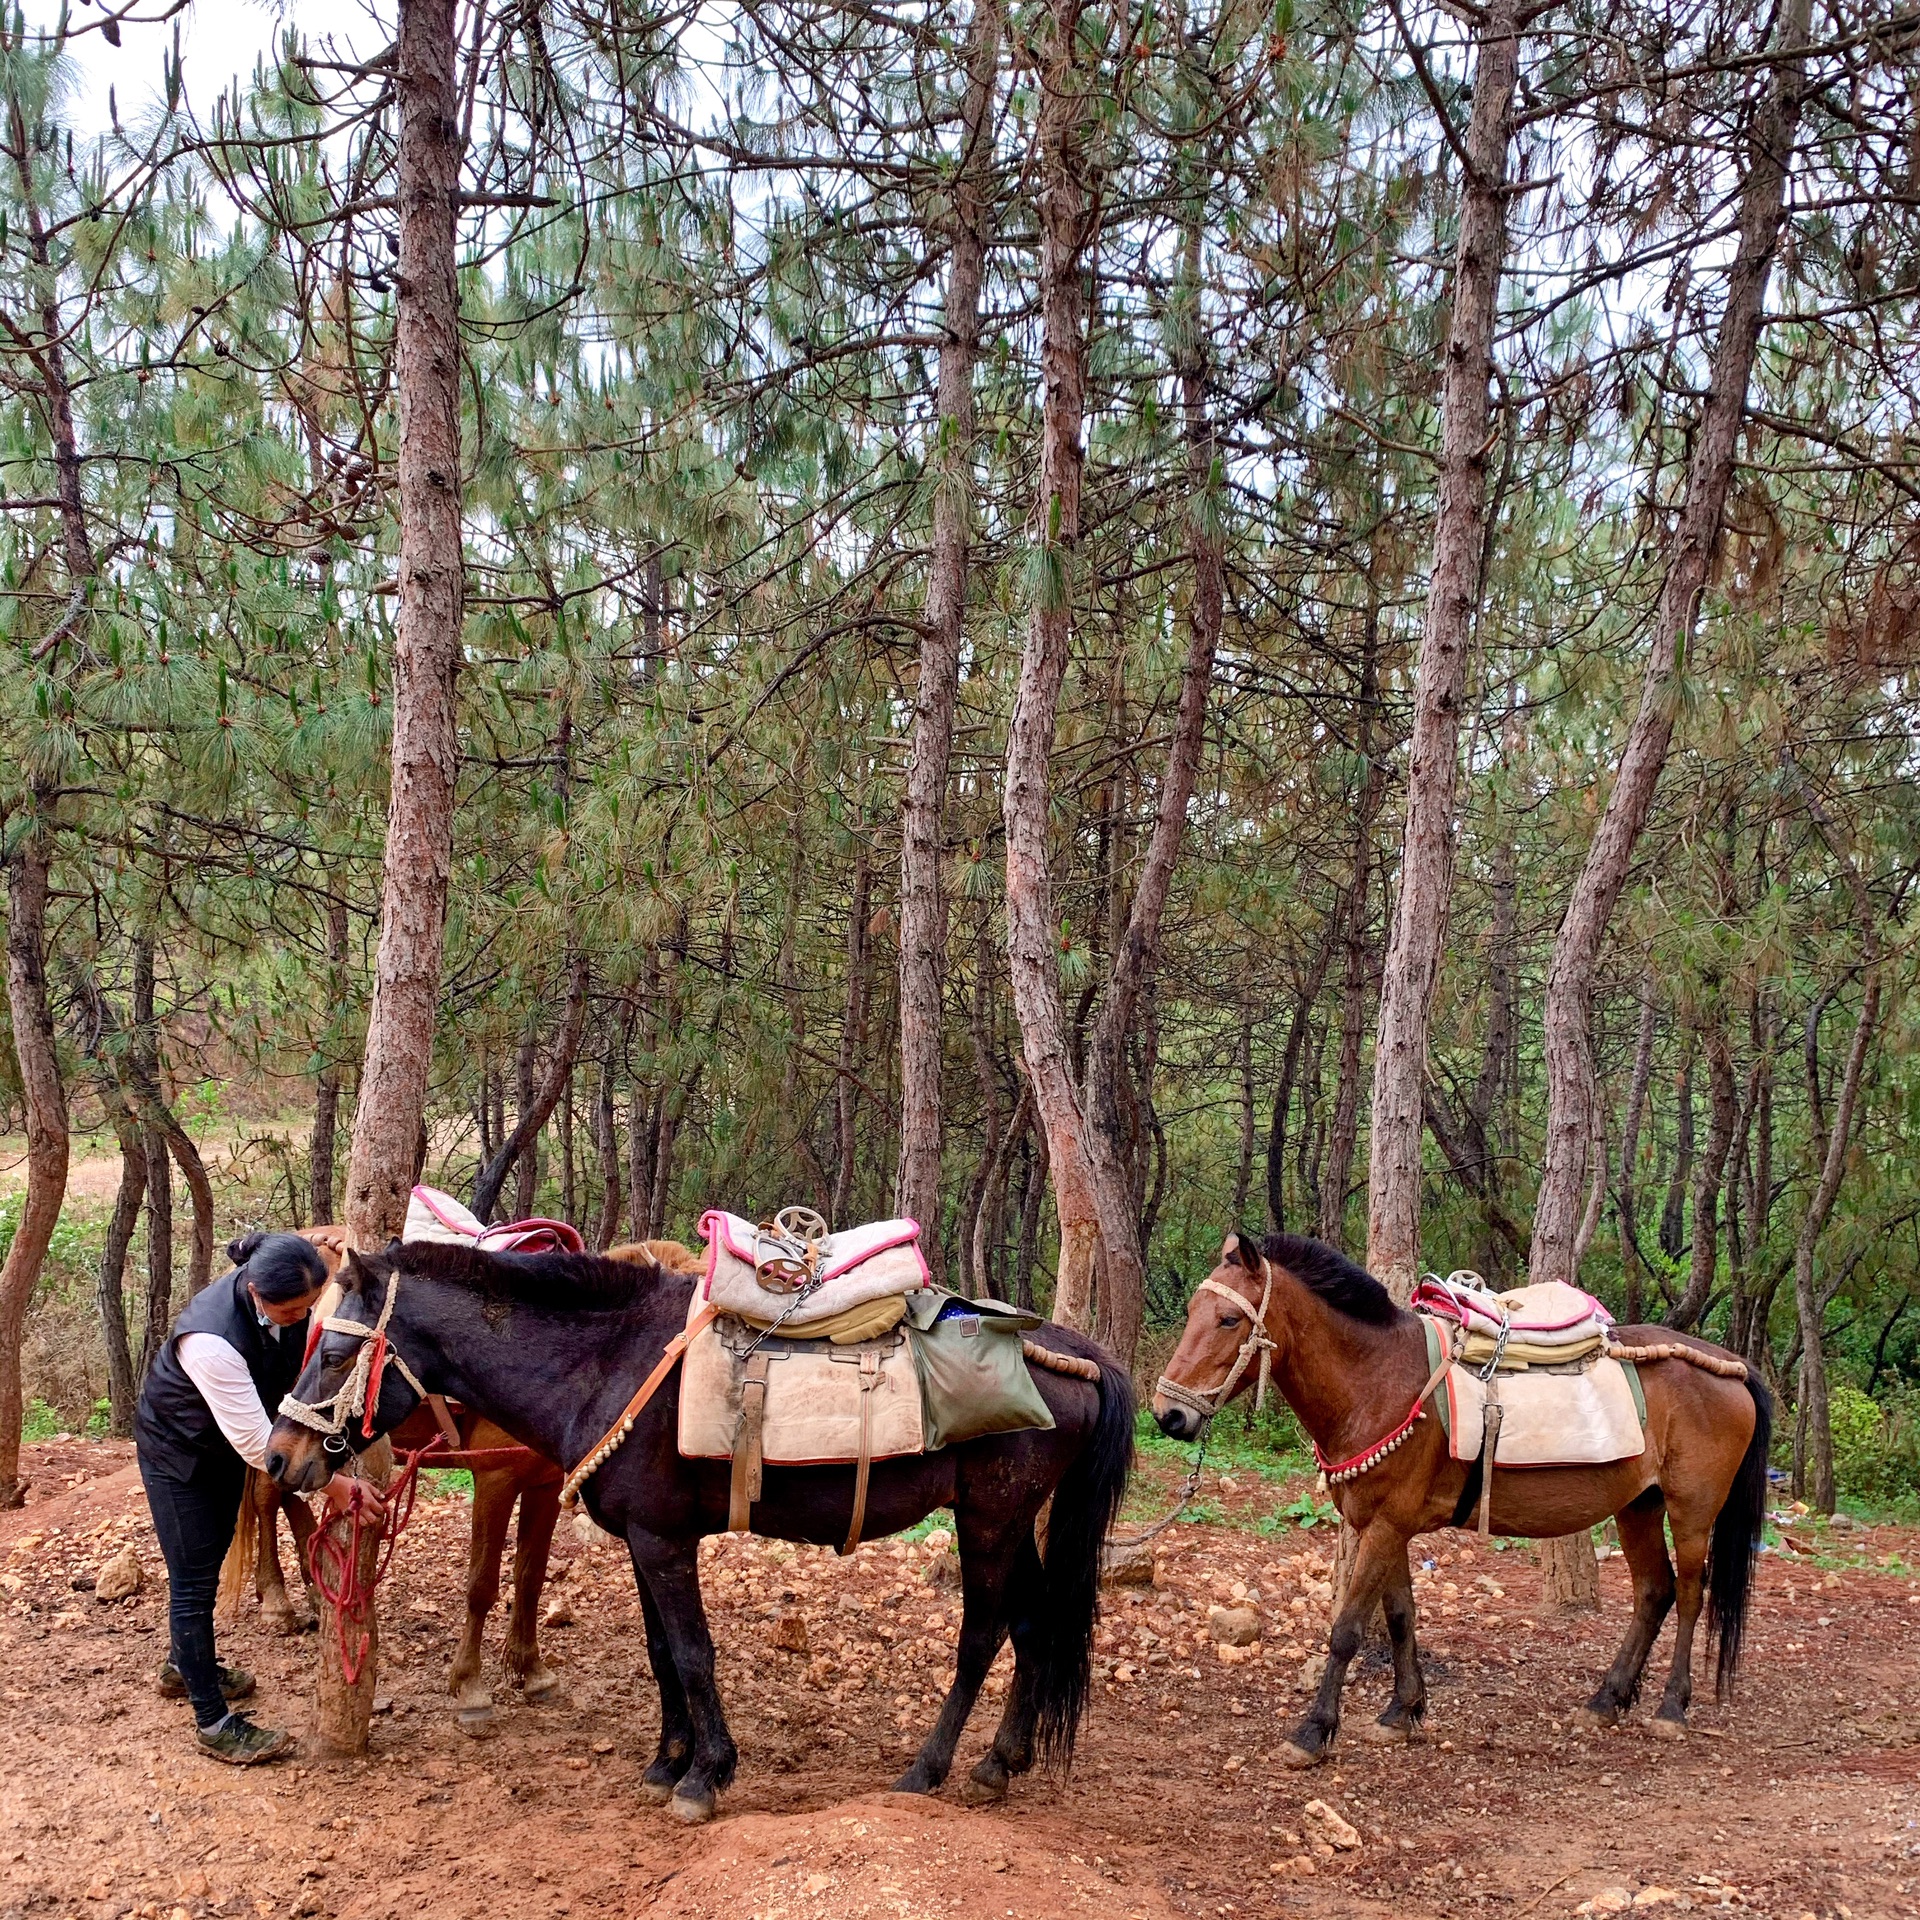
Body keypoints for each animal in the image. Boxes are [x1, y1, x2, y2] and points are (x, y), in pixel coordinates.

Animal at [1152, 1236, 1766, 1758]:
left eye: (1229, 1319)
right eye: (1193, 1312)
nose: (1169, 1415)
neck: (1377, 1380)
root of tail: (1733, 1369)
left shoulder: (1385, 1527)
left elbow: (1347, 1630)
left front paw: (1314, 1731)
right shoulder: (1387, 1527)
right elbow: (1400, 1615)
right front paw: (1402, 1711)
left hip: (1691, 1511)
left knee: (1689, 1595)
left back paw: (1671, 1707)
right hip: (1638, 1506)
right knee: (1653, 1593)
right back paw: (1606, 1700)